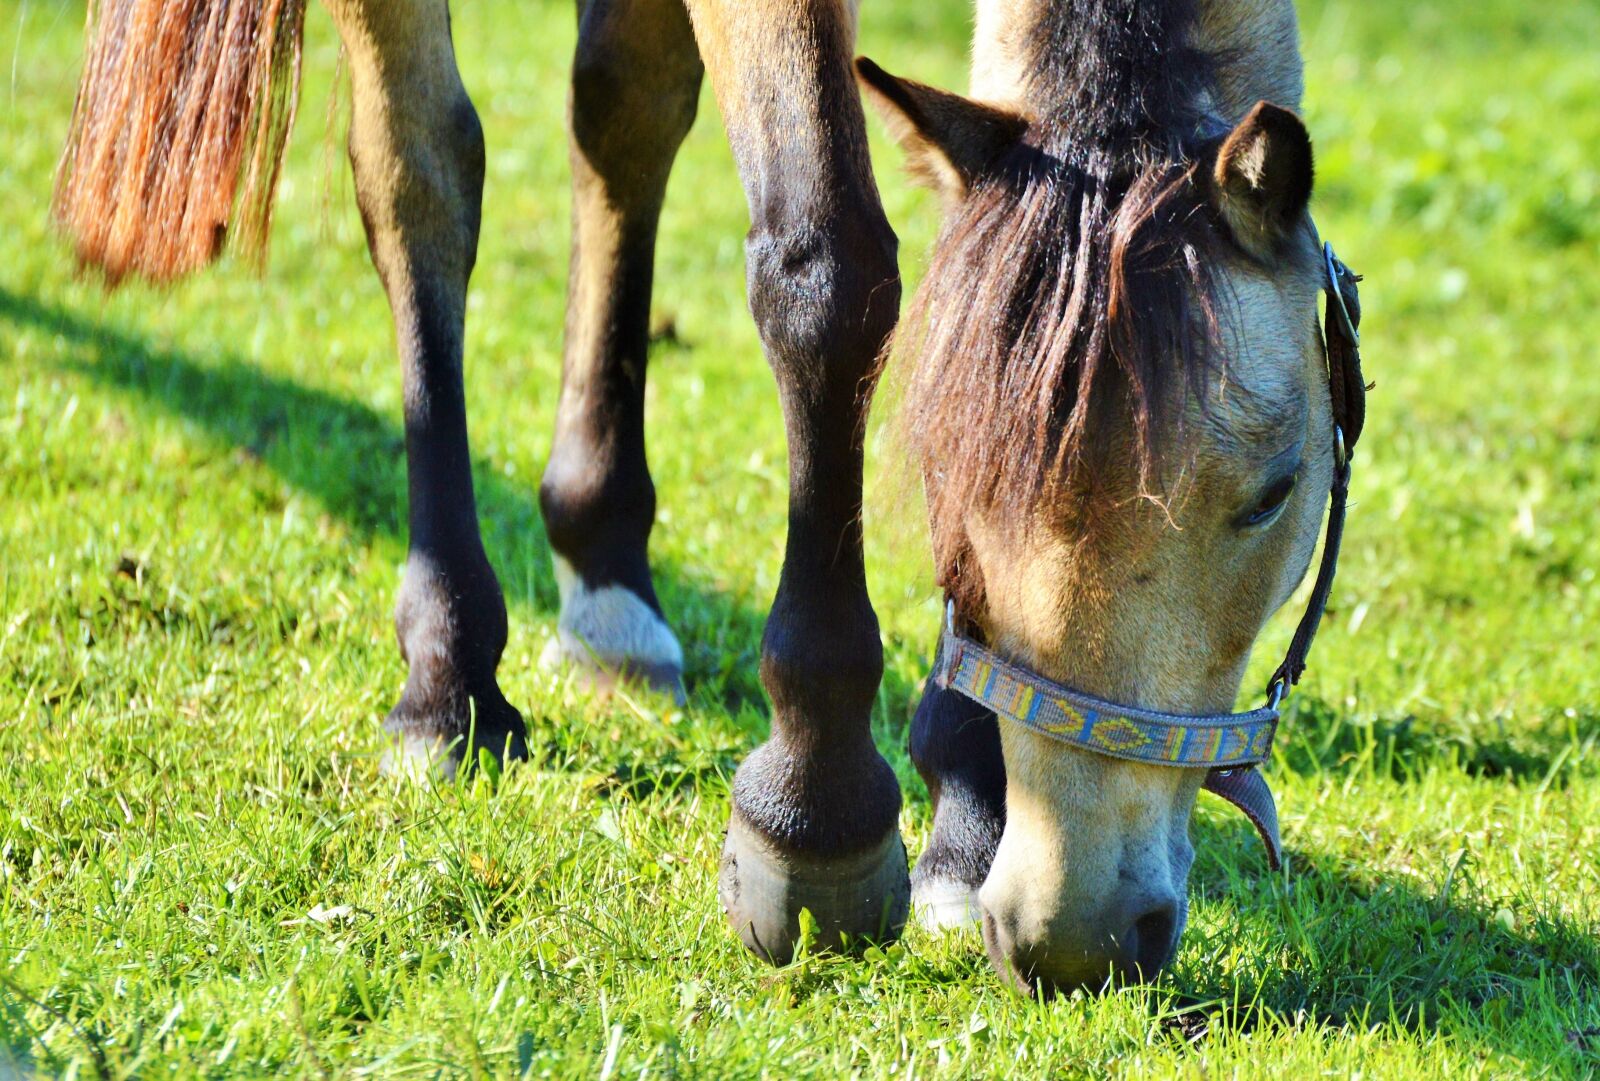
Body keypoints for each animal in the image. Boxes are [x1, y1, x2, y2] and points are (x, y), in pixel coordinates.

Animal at [53, 0, 1363, 993]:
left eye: (1272, 493)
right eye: (946, 476)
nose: (1072, 932)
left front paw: (963, 810)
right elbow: (828, 268)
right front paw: (816, 808)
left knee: (620, 103)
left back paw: (605, 571)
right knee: (418, 167)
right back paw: (448, 673)